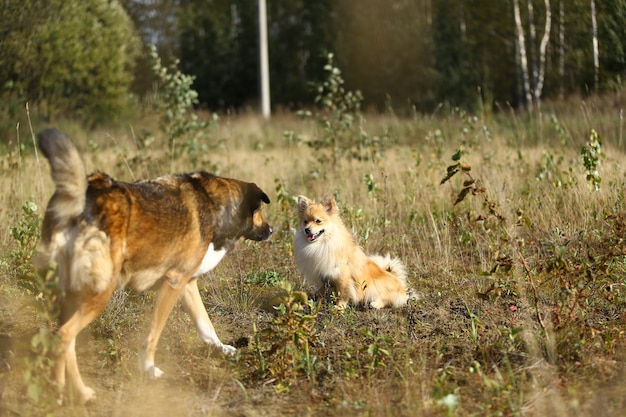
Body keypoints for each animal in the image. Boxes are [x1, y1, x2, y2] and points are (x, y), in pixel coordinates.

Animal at [34, 129, 270, 404]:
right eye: (259, 210)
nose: (271, 230)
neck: (214, 204)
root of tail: (87, 192)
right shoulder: (174, 284)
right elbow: (153, 335)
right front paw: (148, 369)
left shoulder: (187, 285)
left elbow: (207, 327)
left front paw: (223, 349)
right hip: (100, 293)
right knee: (64, 336)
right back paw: (62, 394)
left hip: (74, 296)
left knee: (66, 341)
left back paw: (76, 392)